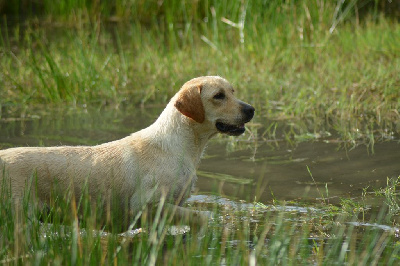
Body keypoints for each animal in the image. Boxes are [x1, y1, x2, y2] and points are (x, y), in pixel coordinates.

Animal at [0, 75, 255, 231]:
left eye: (232, 91)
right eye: (218, 96)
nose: (251, 109)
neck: (180, 146)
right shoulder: (146, 205)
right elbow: (201, 218)